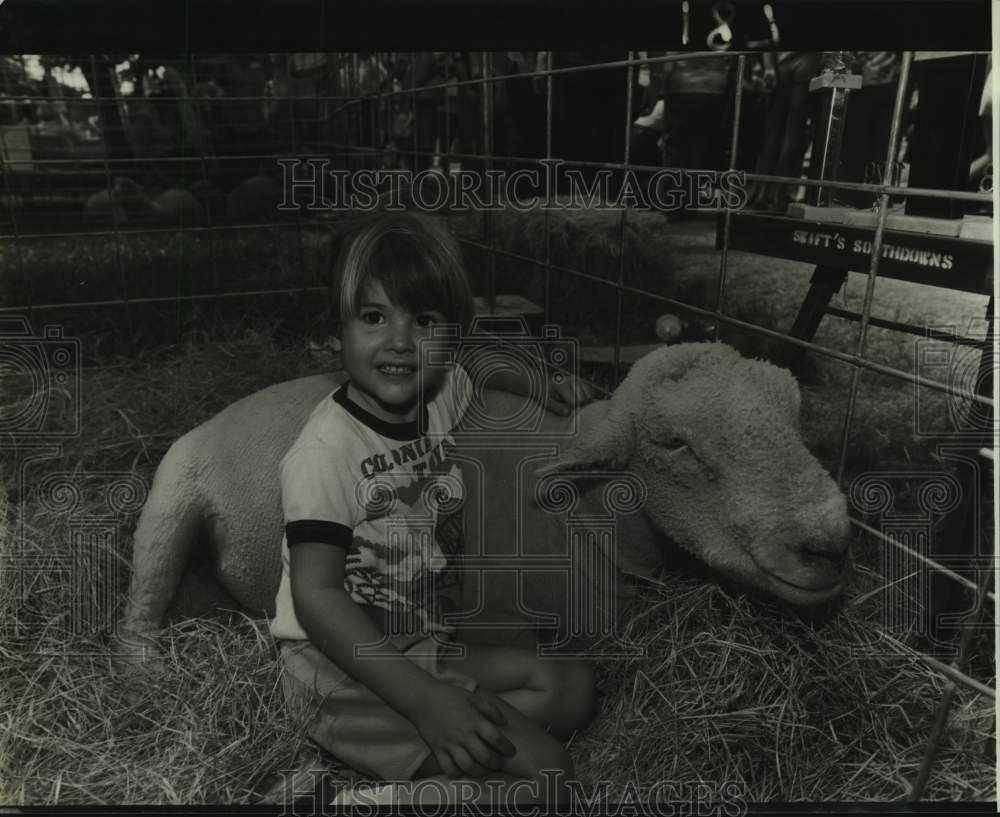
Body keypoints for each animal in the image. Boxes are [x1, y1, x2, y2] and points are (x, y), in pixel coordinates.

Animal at [115, 342, 852, 660]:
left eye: (794, 413)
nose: (828, 542)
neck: (586, 509)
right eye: (675, 444)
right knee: (139, 611)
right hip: (171, 499)